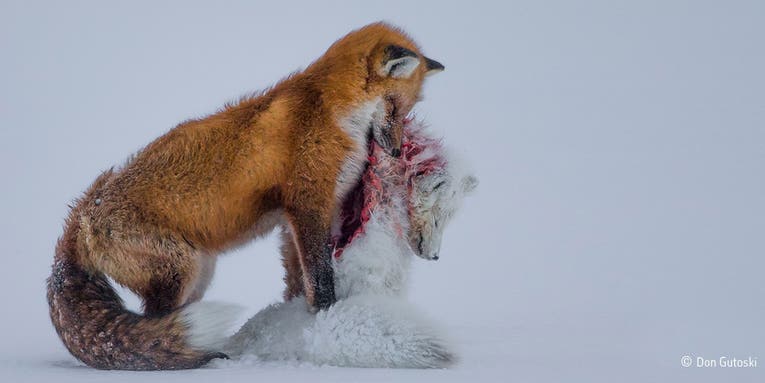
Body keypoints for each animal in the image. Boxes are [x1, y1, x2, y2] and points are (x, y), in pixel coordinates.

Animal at [46, 21, 442, 372]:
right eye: (394, 106)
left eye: (406, 110)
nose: (394, 151)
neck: (331, 110)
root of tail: (81, 215)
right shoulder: (308, 204)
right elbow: (320, 278)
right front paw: (327, 318)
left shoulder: (292, 222)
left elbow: (297, 281)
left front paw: (298, 323)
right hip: (181, 269)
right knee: (155, 330)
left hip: (199, 274)